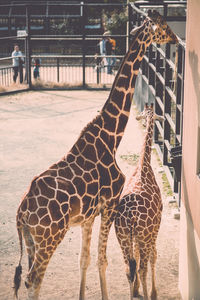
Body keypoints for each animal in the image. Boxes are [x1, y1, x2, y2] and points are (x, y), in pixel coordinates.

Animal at [115, 103, 165, 300]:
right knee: (142, 267)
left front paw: (137, 290)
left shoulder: (134, 236)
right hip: (143, 235)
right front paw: (153, 293)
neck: (144, 166)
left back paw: (133, 292)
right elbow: (154, 256)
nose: (141, 118)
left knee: (129, 268)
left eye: (144, 114)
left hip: (122, 236)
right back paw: (148, 294)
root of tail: (130, 216)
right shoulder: (156, 224)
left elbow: (134, 261)